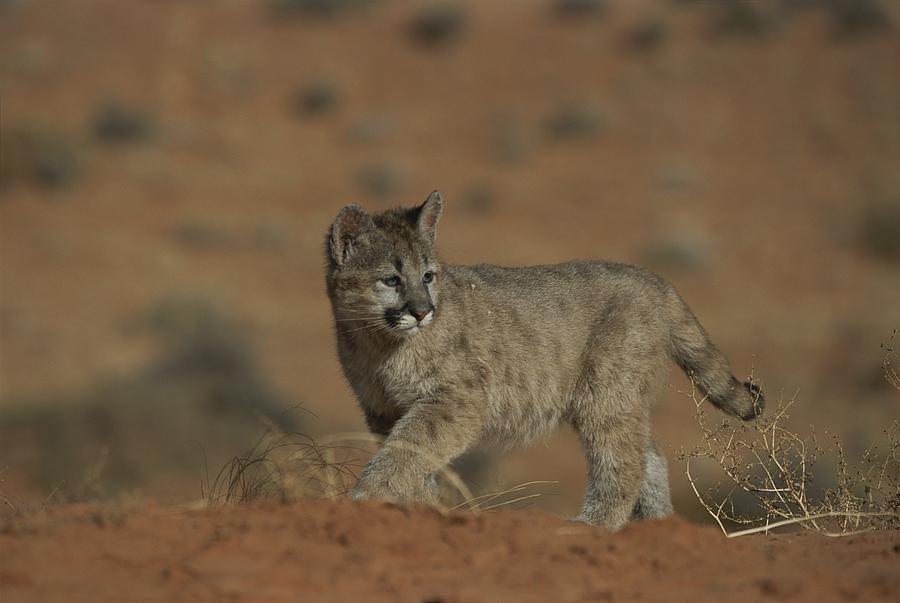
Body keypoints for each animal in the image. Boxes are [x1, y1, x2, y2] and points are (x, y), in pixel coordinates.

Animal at [324, 190, 760, 528]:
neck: (375, 341)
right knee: (649, 455)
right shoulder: (382, 409)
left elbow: (407, 450)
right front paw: (421, 504)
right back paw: (657, 524)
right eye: (391, 279)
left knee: (624, 460)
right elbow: (413, 458)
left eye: (429, 276)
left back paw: (592, 525)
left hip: (605, 393)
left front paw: (366, 496)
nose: (422, 311)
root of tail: (654, 279)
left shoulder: (455, 400)